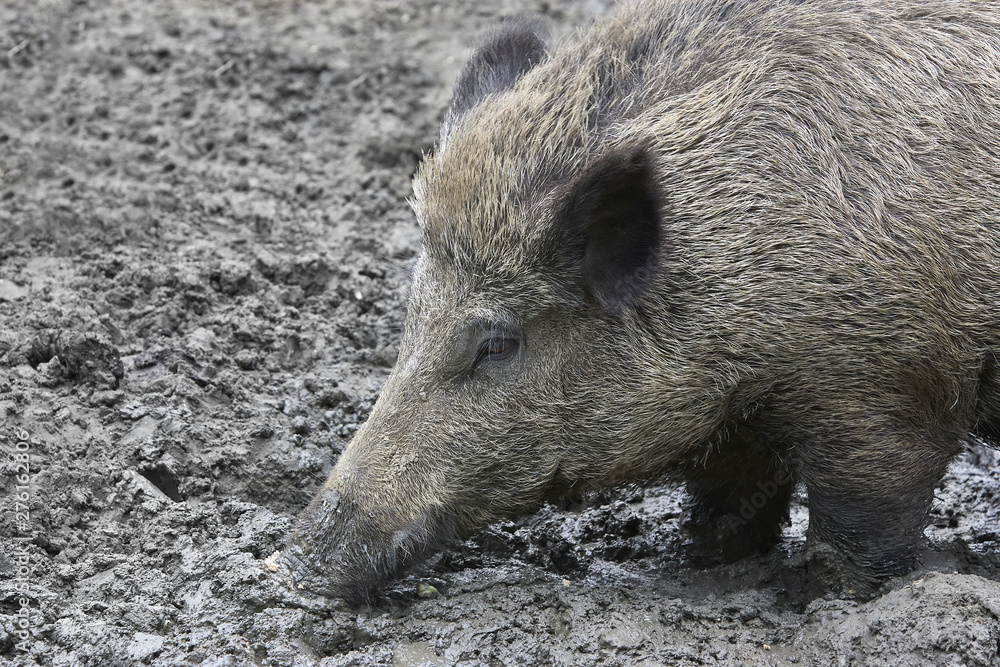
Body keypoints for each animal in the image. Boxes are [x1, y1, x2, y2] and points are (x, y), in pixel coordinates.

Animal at [282, 0, 1000, 601]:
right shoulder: (739, 427)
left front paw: (828, 597)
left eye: (498, 343)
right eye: (412, 313)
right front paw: (707, 565)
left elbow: (861, 535)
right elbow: (726, 510)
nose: (299, 562)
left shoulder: (883, 395)